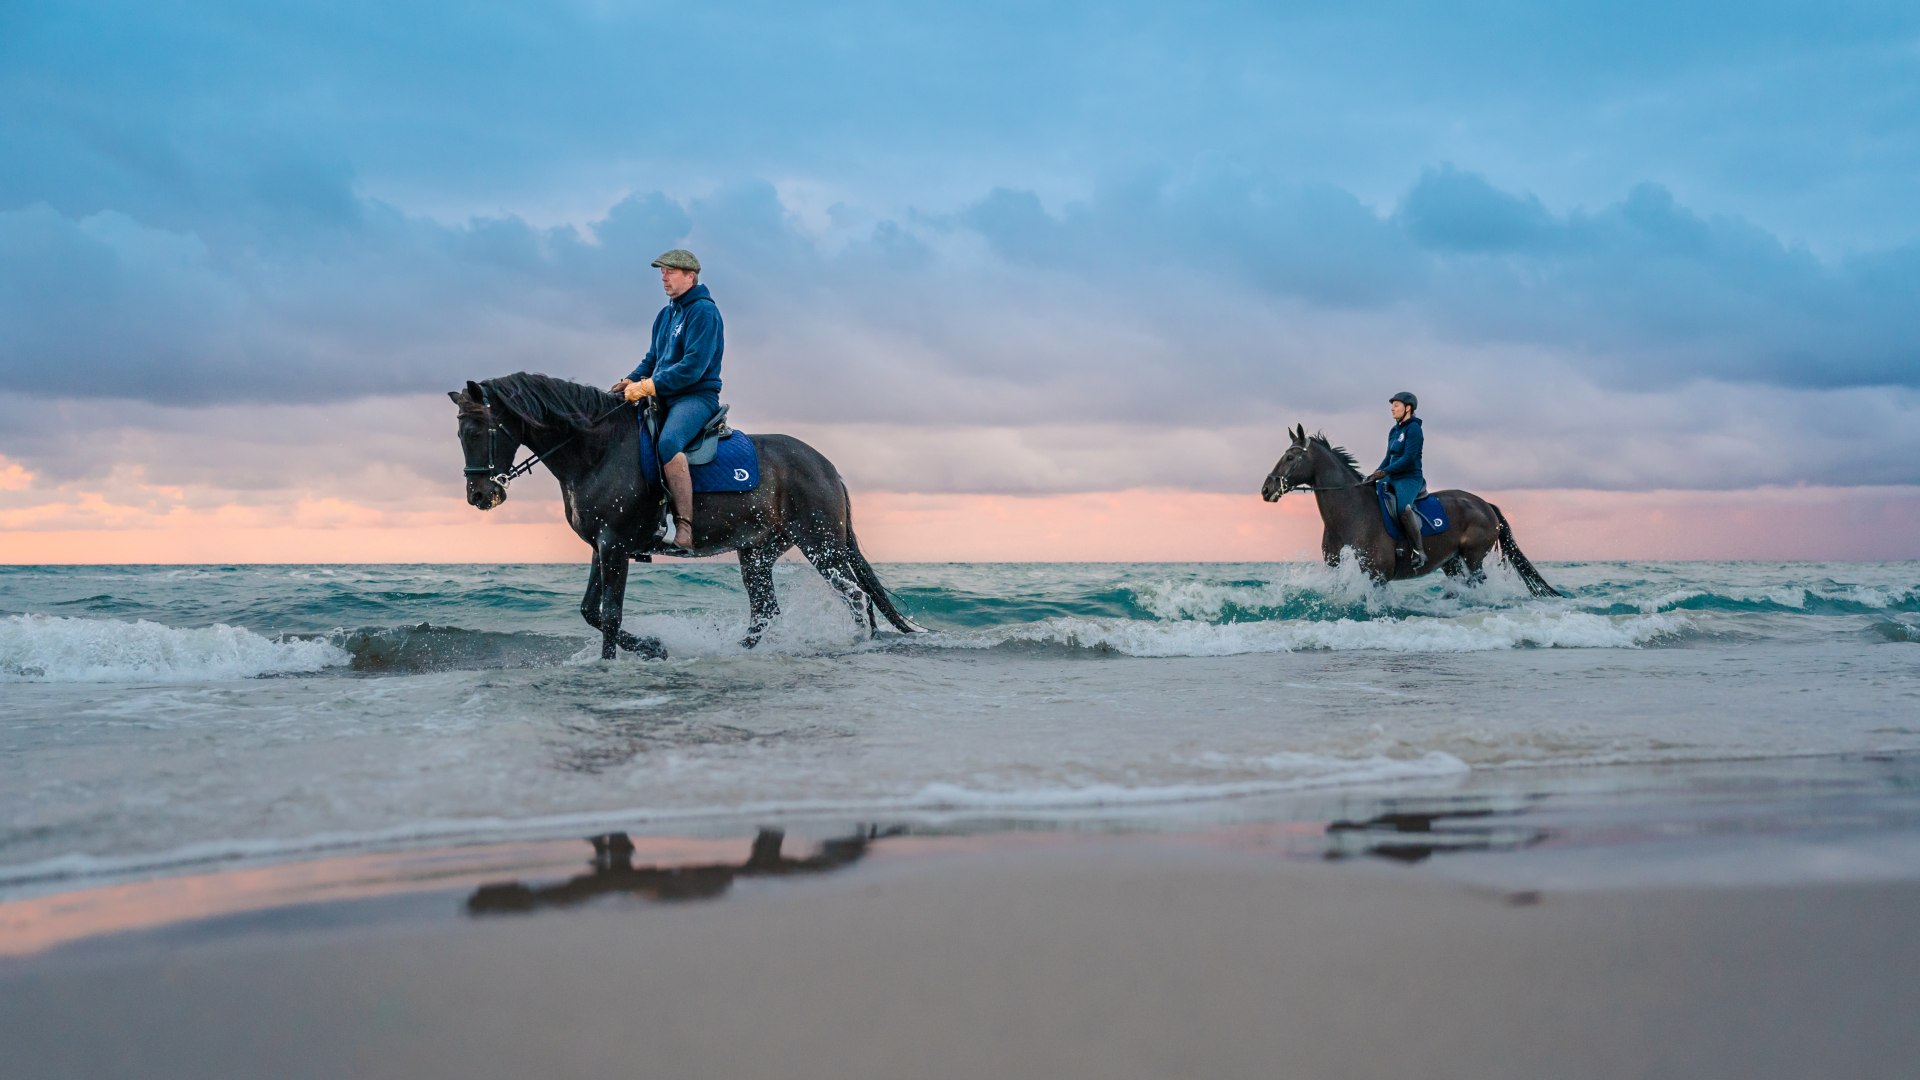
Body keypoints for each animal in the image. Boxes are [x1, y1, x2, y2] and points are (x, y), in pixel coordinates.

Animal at [453, 368, 925, 657]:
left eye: (479, 430)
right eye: (459, 433)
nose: (479, 495)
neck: (598, 450)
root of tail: (827, 466)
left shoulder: (614, 547)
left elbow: (610, 615)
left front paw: (618, 662)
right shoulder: (601, 546)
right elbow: (591, 612)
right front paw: (653, 649)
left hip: (821, 545)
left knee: (855, 595)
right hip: (758, 553)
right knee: (766, 611)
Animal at [1259, 422, 1559, 595]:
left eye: (1290, 457)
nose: (1266, 489)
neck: (1350, 515)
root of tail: (1485, 504)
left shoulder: (1376, 575)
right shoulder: (1335, 566)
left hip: (1473, 558)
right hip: (1450, 562)